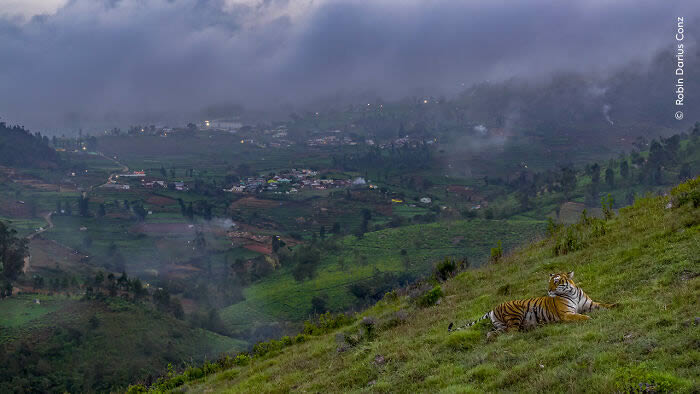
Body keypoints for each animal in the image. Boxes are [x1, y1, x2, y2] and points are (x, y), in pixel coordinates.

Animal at [448, 272, 612, 334]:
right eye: (549, 282)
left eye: (556, 281)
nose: (548, 290)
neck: (571, 292)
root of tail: (493, 308)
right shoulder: (566, 314)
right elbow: (579, 316)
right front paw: (588, 318)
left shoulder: (590, 304)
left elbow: (605, 305)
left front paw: (616, 305)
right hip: (516, 314)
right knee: (511, 332)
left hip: (500, 325)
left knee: (494, 333)